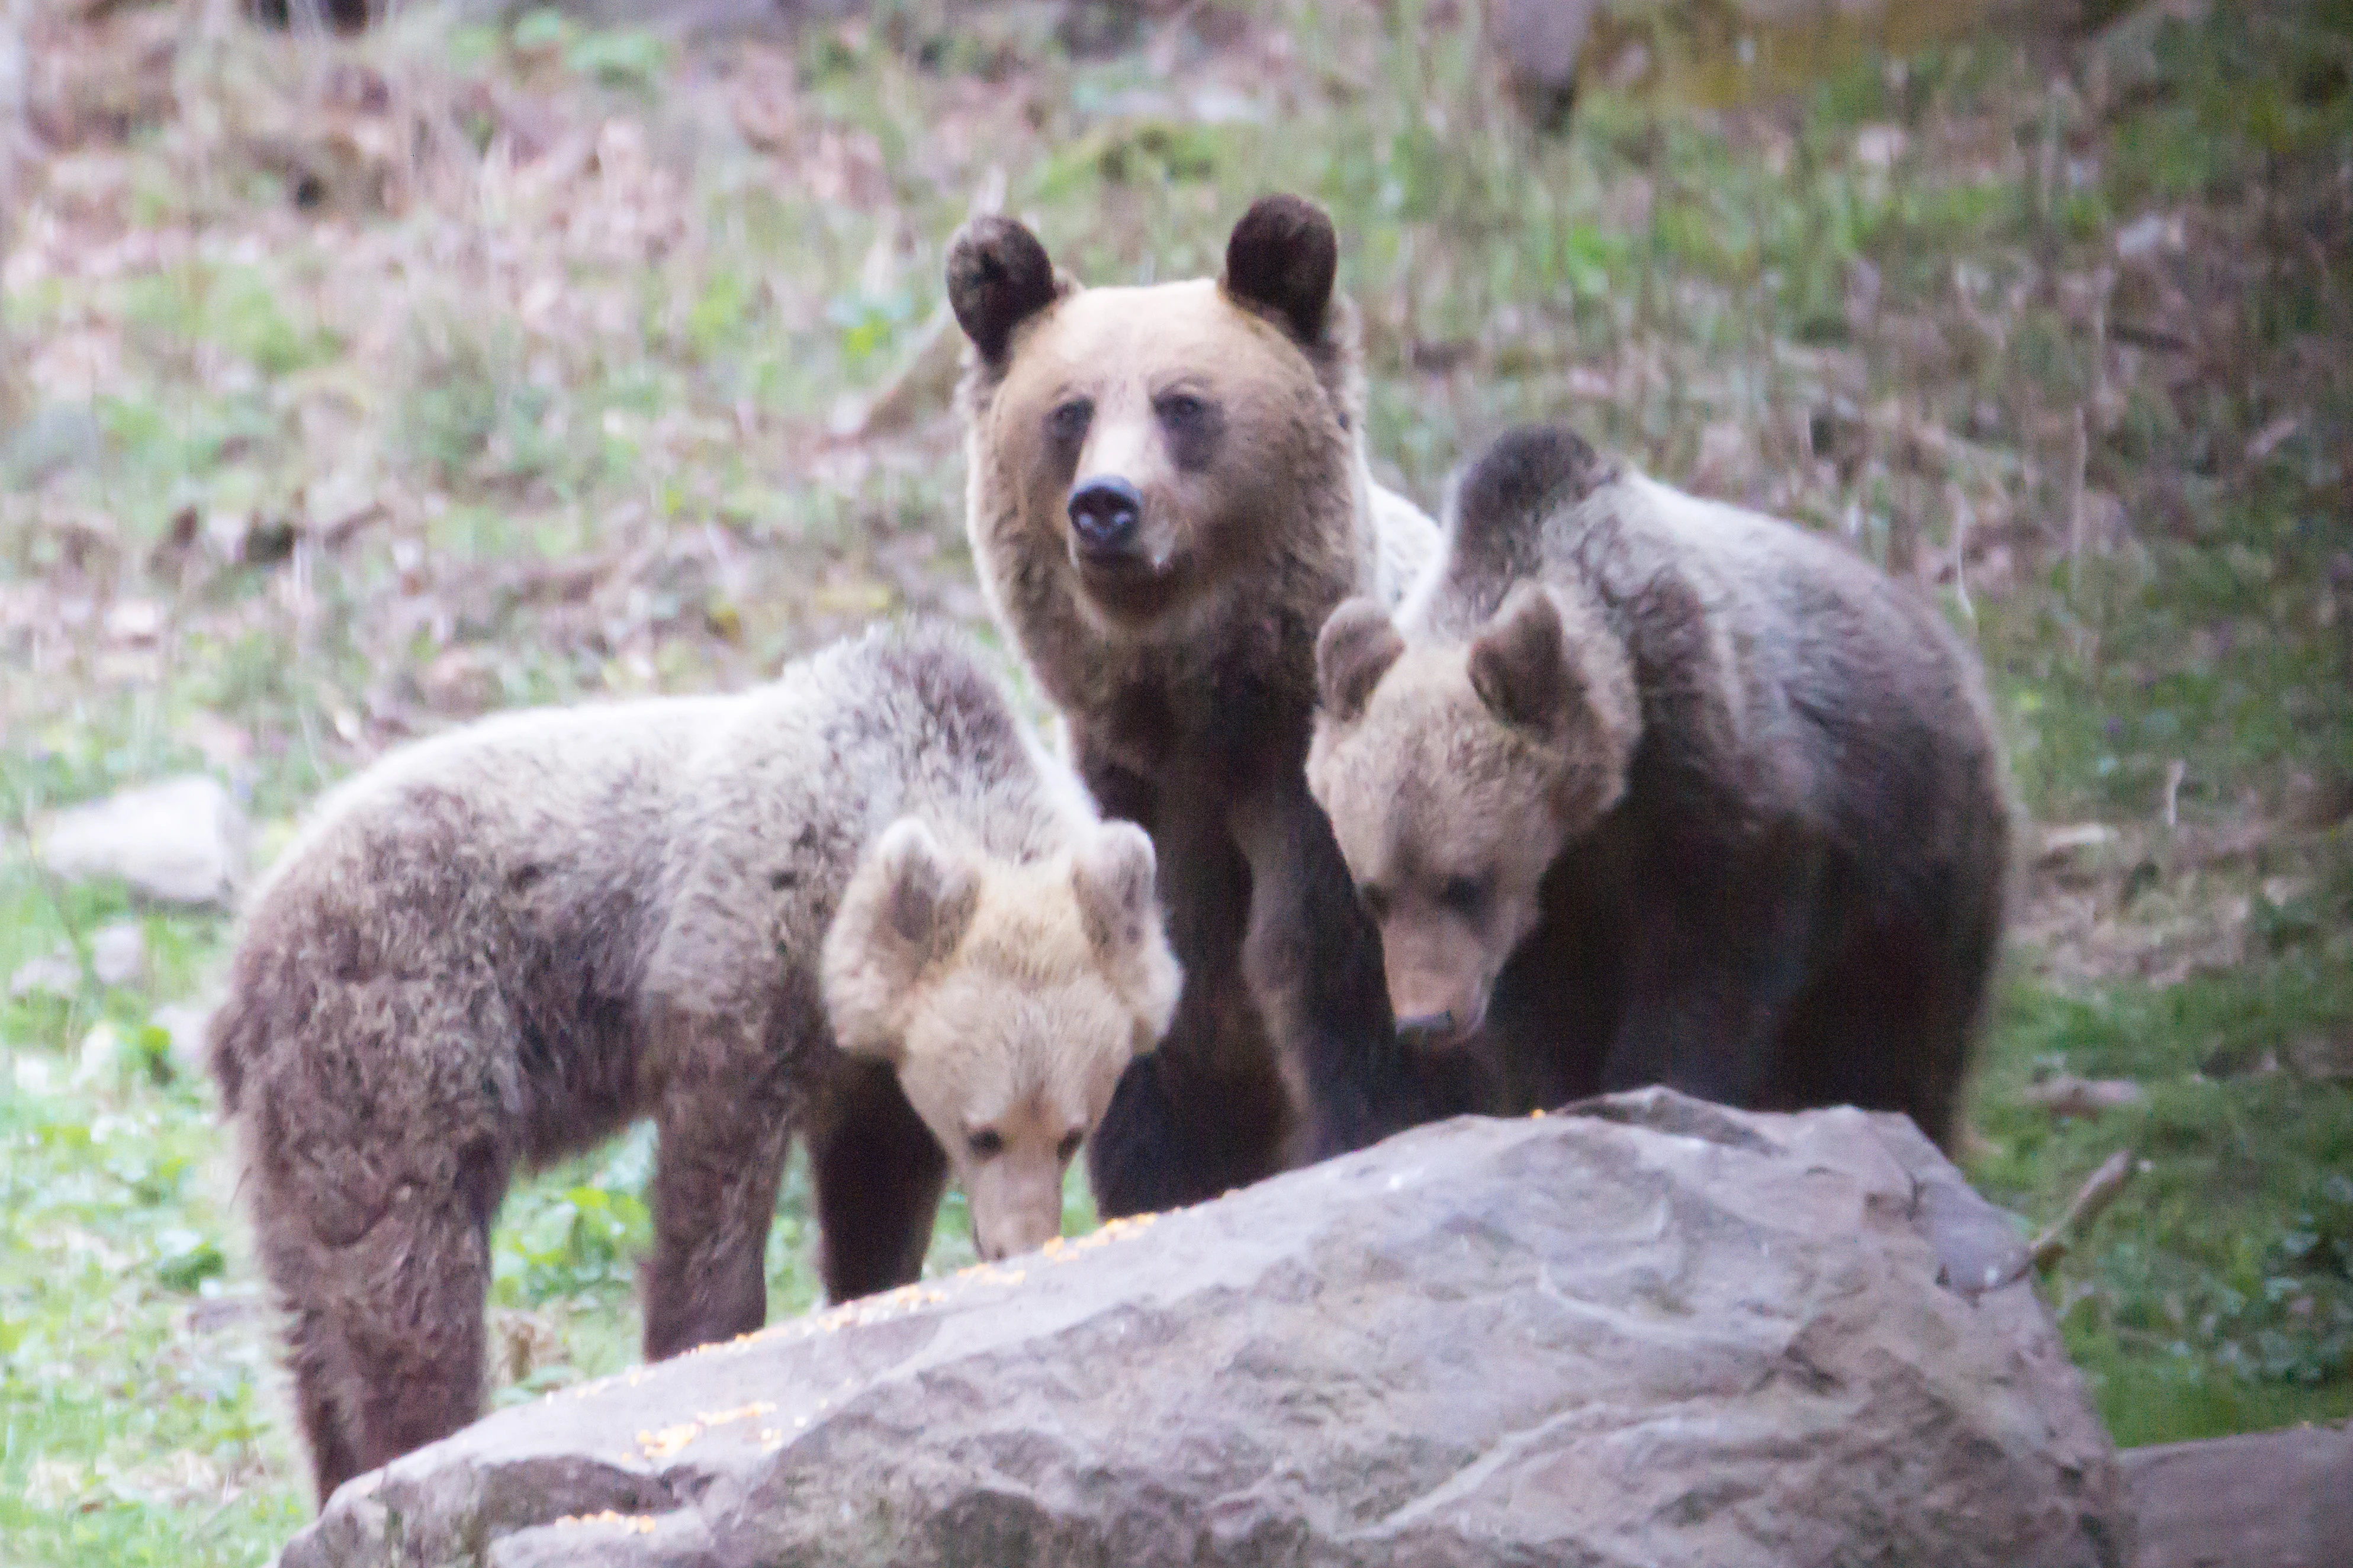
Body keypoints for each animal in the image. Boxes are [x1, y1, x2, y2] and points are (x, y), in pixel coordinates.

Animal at [206, 623, 1180, 1503]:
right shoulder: (738, 975)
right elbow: (712, 1207)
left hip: (297, 1129)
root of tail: (245, 959)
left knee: (311, 1318)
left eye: (1071, 1133)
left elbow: (874, 1205)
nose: (1021, 1245)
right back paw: (415, 1449)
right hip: (398, 1037)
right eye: (985, 1134)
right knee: (406, 1278)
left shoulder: (878, 1076)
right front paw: (700, 1357)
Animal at [944, 193, 1479, 1218]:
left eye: (1183, 404)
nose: (1105, 506)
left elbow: (1367, 1050)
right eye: (1069, 411)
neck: (1202, 721)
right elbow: (1161, 1101)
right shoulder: (1132, 814)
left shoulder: (1338, 829)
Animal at [1307, 423, 2014, 1147]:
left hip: (1918, 855)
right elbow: (1547, 1016)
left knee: (1902, 1036)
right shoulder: (1555, 903)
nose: (1426, 1021)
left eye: (1463, 882)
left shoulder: (1723, 801)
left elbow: (1710, 968)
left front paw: (1656, 1087)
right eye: (1373, 894)